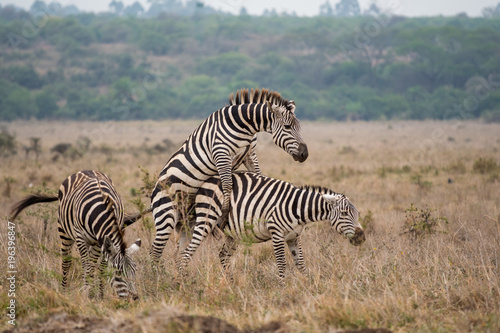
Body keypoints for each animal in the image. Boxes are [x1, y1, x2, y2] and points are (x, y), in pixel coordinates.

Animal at [9, 170, 143, 300]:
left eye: (135, 271)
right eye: (118, 273)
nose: (135, 298)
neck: (103, 209)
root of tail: (85, 170)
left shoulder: (100, 242)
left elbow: (99, 268)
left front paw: (99, 295)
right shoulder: (81, 238)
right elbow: (88, 267)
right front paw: (87, 295)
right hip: (64, 232)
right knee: (67, 263)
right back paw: (64, 291)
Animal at [149, 87, 308, 262]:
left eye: (299, 127)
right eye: (287, 127)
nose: (304, 154)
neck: (244, 125)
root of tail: (154, 189)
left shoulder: (249, 154)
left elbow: (258, 175)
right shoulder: (221, 153)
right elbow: (227, 184)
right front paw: (225, 213)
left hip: (185, 222)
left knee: (179, 252)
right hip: (166, 214)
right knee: (155, 250)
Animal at [176, 170, 364, 282]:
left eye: (357, 214)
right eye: (344, 214)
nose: (361, 237)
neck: (297, 207)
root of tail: (206, 181)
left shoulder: (294, 237)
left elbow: (300, 263)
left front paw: (310, 285)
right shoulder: (277, 233)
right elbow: (281, 263)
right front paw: (282, 288)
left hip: (232, 233)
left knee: (223, 255)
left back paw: (231, 283)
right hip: (206, 219)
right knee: (185, 254)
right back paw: (183, 283)